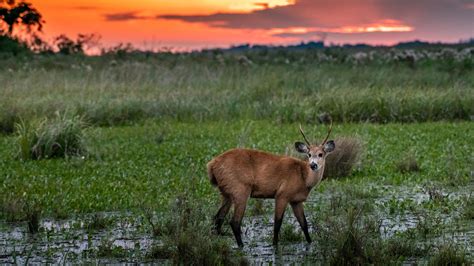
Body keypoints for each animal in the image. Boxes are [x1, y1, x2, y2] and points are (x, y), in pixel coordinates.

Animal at [206, 122, 336, 247]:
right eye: (309, 154)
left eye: (320, 154)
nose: (313, 165)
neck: (304, 178)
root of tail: (211, 165)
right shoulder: (282, 194)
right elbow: (277, 223)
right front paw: (274, 245)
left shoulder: (296, 200)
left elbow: (304, 224)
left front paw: (310, 243)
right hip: (240, 189)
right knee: (234, 222)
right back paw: (241, 246)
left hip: (226, 193)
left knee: (217, 219)